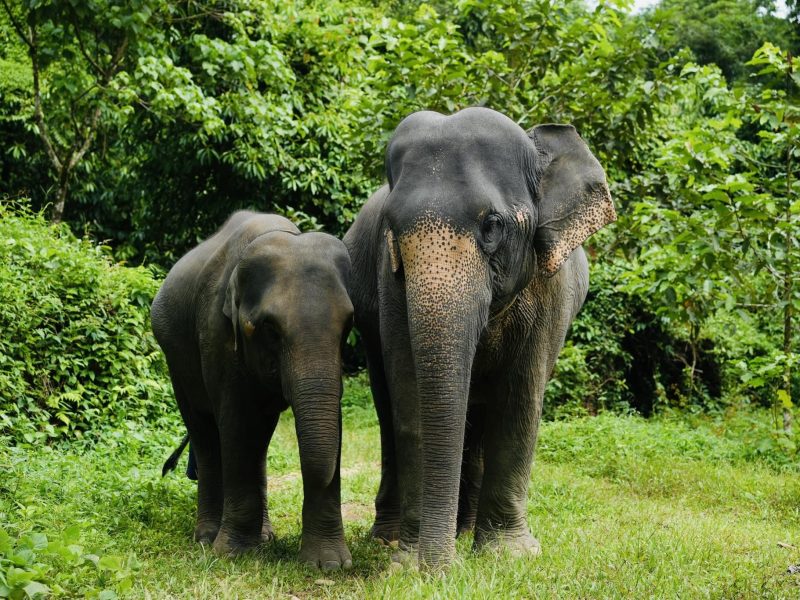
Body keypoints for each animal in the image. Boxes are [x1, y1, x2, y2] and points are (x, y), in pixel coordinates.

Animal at [151, 210, 354, 570]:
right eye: (269, 328)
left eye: (348, 325)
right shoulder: (216, 334)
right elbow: (238, 423)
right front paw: (233, 555)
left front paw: (329, 565)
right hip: (174, 357)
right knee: (205, 434)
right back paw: (207, 537)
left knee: (258, 444)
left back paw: (265, 536)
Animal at [343, 107, 616, 569]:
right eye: (391, 228)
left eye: (492, 226)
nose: (440, 571)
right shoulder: (389, 279)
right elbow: (410, 395)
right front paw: (407, 562)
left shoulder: (550, 287)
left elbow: (520, 397)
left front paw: (509, 555)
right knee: (387, 406)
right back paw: (391, 539)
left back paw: (467, 532)